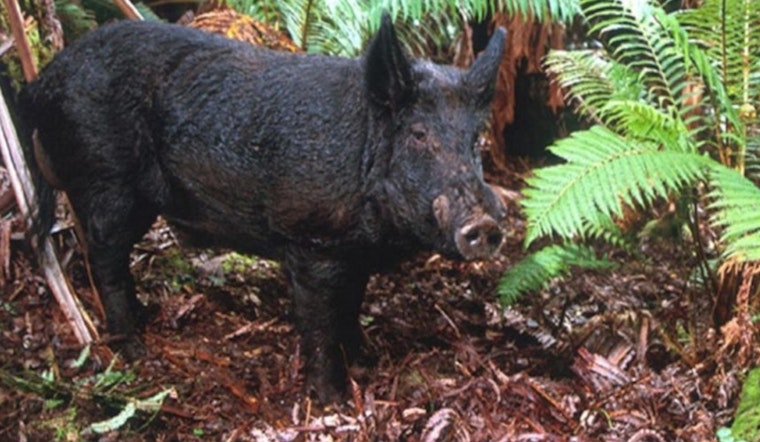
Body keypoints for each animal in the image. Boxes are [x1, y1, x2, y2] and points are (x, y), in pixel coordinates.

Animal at [19, 13, 506, 402]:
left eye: (475, 140)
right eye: (419, 135)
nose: (485, 224)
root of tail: (43, 80)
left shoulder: (353, 253)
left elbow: (351, 305)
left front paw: (364, 360)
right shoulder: (311, 242)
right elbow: (320, 324)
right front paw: (333, 401)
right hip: (106, 180)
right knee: (104, 255)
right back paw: (134, 348)